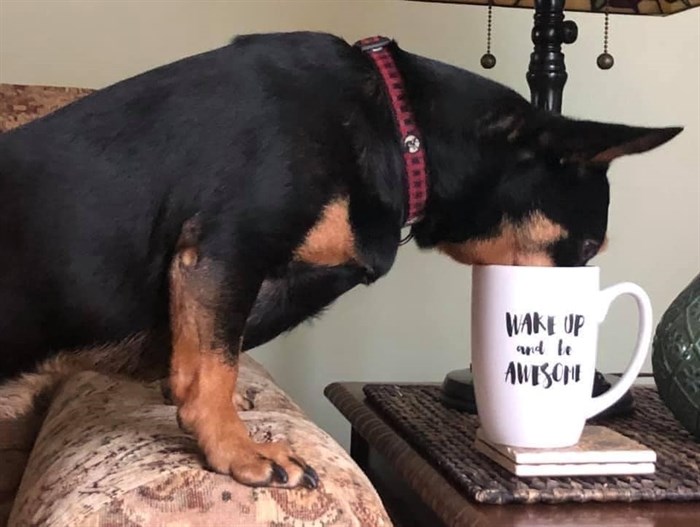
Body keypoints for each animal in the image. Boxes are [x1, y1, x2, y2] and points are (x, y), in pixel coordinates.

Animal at [0, 32, 680, 486]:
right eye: (586, 249)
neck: (401, 131)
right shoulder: (224, 250)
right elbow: (210, 368)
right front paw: (237, 451)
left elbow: (212, 353)